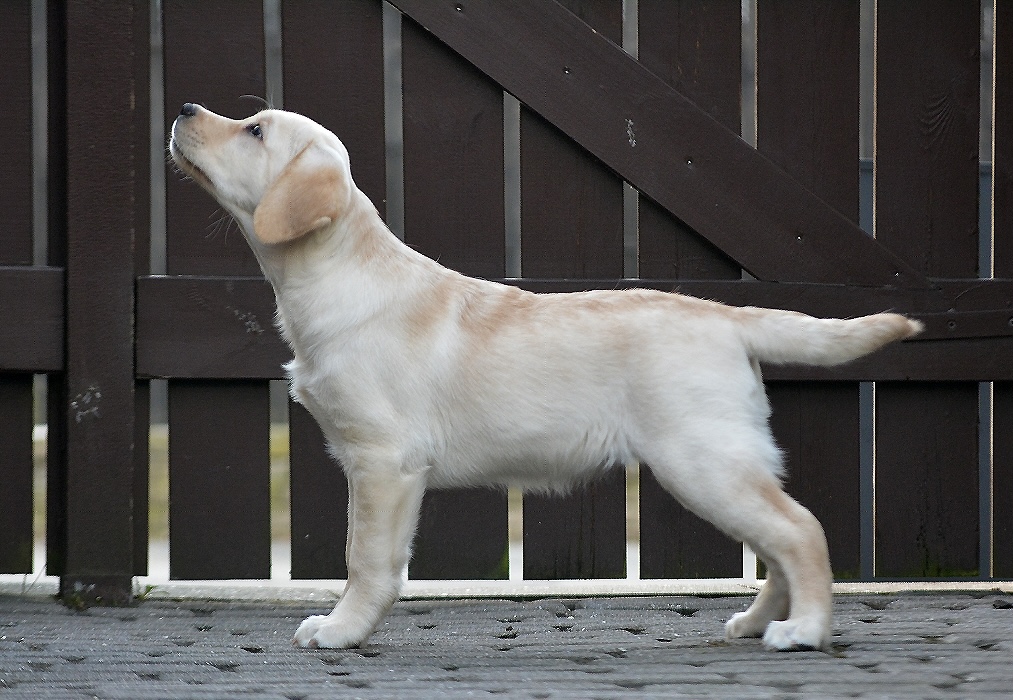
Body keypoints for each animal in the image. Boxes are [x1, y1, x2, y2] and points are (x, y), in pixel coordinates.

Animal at [172, 102, 919, 652]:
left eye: (255, 130)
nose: (183, 109)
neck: (335, 272)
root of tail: (730, 316)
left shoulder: (383, 461)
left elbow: (367, 558)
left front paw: (340, 631)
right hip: (721, 461)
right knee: (775, 539)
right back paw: (758, 622)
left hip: (701, 459)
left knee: (799, 531)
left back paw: (805, 631)